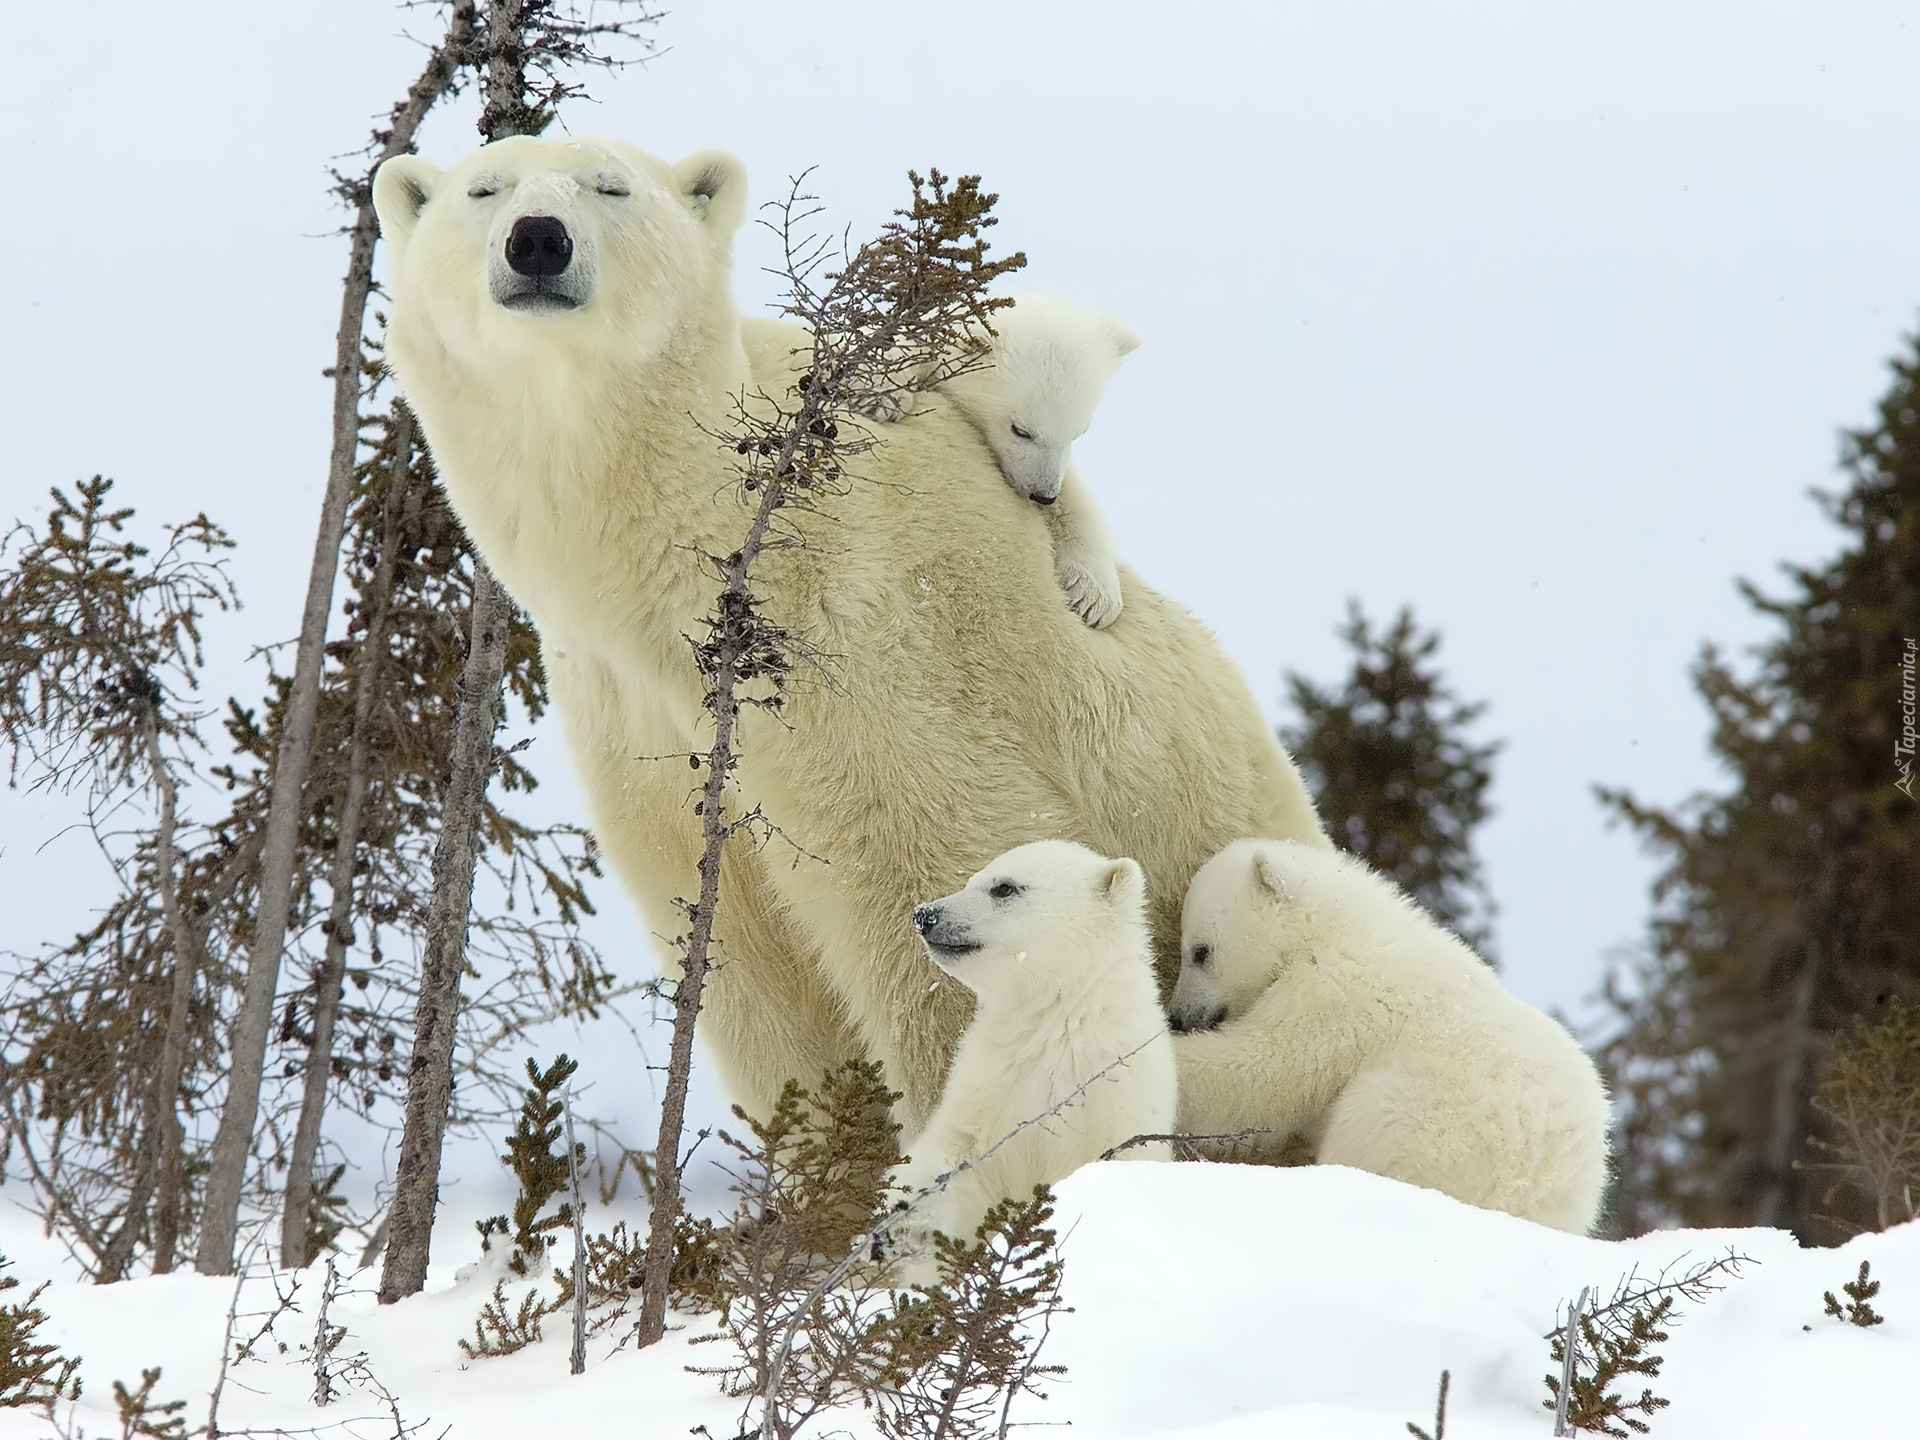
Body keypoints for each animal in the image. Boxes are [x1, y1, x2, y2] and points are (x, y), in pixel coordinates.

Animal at [744, 293, 1136, 629]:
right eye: (1020, 430)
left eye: (1079, 432)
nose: (1043, 495)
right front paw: (881, 396)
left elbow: (1078, 499)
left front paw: (1096, 598)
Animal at [890, 840, 1175, 1259]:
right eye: (971, 879)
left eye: (1004, 888)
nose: (925, 914)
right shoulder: (988, 1088)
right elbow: (955, 1156)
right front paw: (903, 1221)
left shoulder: (1116, 1109)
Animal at [1167, 840, 1605, 1236]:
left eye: (1200, 951)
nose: (1177, 1016)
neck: (1330, 928)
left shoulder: (1333, 997)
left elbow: (1260, 1074)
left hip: (1434, 1125)